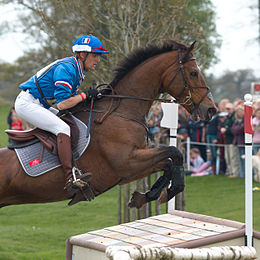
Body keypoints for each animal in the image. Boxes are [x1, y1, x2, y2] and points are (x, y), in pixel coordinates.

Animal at [0, 39, 217, 208]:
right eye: (193, 73)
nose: (212, 109)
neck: (121, 111)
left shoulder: (130, 169)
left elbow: (170, 161)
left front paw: (144, 197)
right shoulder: (127, 163)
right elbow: (174, 153)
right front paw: (167, 192)